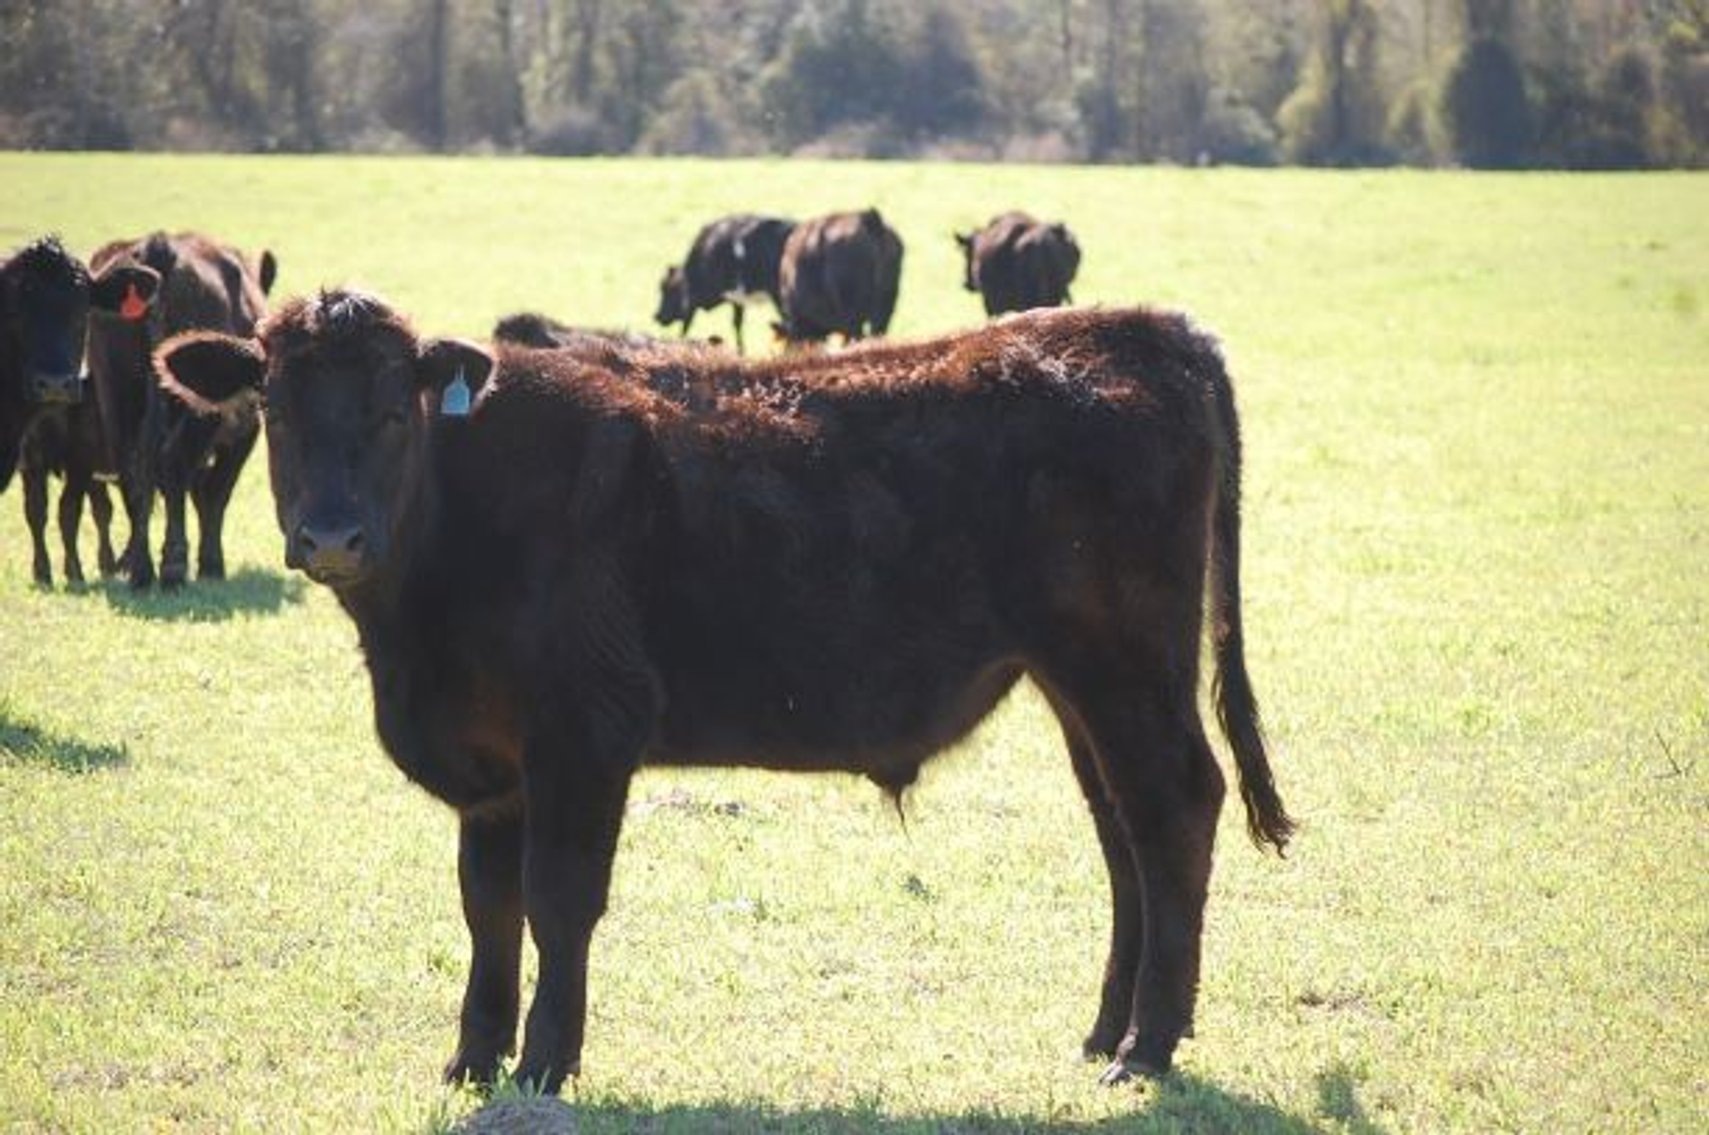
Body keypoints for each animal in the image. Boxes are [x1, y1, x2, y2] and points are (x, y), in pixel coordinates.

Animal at [87, 231, 275, 588]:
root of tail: (160, 246)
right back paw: (172, 567)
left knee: (134, 471)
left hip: (117, 397)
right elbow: (215, 493)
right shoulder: (245, 432)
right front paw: (211, 566)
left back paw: (140, 570)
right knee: (172, 463)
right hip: (201, 414)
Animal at [154, 289, 1293, 1095]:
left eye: (397, 412)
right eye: (276, 409)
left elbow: (559, 899)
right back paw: (1106, 1029)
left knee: (1173, 810)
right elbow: (488, 906)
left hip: (1125, 669)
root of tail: (1141, 327)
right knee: (1122, 837)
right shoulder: (493, 767)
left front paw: (544, 1063)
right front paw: (470, 1060)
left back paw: (1146, 1045)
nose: (332, 537)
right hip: (1077, 685)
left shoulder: (584, 734)